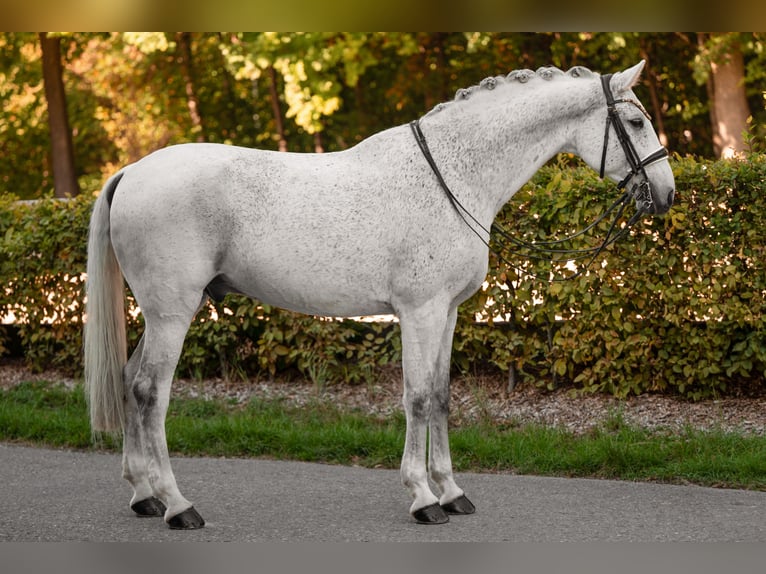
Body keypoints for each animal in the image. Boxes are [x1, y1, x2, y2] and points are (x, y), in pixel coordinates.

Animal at [84, 60, 675, 529]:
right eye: (636, 121)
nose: (666, 194)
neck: (453, 175)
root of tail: (131, 172)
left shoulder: (448, 313)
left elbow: (441, 395)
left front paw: (452, 492)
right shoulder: (419, 311)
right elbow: (417, 397)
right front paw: (423, 498)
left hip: (159, 314)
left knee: (128, 380)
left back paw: (143, 495)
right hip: (172, 312)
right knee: (149, 392)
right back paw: (178, 506)